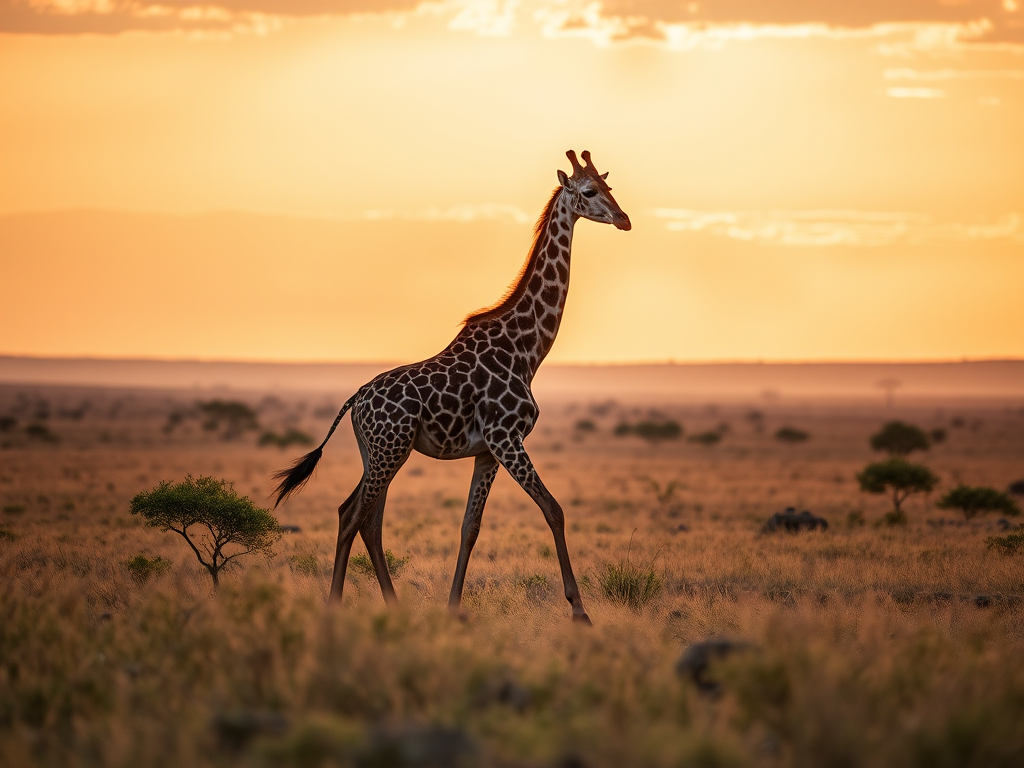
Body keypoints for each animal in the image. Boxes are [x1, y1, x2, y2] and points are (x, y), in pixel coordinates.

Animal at [273, 150, 630, 623]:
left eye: (609, 186)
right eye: (589, 192)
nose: (625, 219)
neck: (527, 350)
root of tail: (356, 401)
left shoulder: (488, 450)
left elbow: (470, 527)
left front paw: (454, 607)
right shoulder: (506, 437)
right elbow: (554, 510)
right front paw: (579, 612)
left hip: (381, 452)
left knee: (366, 518)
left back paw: (394, 605)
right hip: (389, 450)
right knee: (353, 516)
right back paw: (334, 606)